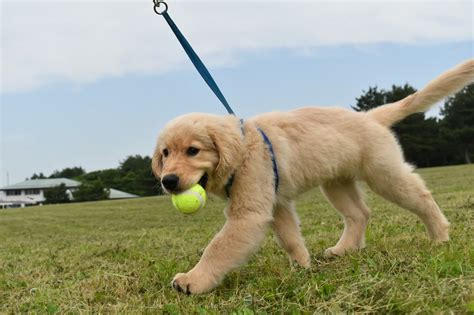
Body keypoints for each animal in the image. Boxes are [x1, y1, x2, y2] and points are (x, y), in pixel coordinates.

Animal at [152, 60, 474, 296]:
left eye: (193, 150)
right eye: (165, 153)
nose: (168, 181)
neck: (243, 149)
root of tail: (370, 116)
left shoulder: (249, 214)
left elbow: (218, 248)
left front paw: (192, 280)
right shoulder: (277, 205)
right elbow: (290, 238)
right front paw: (302, 267)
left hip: (384, 174)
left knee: (420, 196)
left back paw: (440, 235)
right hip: (336, 183)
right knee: (359, 214)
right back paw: (343, 249)